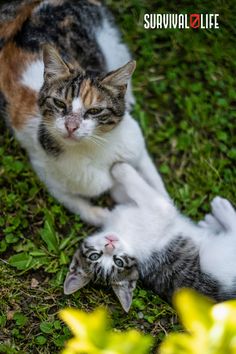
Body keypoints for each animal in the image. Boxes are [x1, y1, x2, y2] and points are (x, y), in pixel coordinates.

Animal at [0, 0, 168, 225]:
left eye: (95, 110)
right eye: (59, 103)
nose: (71, 126)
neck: (96, 147)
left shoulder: (136, 148)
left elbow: (158, 187)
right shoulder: (46, 171)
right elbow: (81, 207)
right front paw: (106, 216)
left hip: (108, 39)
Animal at [64, 163, 236, 312]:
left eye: (118, 261)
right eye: (95, 257)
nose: (110, 245)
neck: (124, 236)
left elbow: (132, 194)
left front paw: (116, 177)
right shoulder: (160, 209)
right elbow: (145, 192)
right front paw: (120, 168)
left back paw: (212, 221)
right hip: (211, 259)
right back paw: (221, 211)